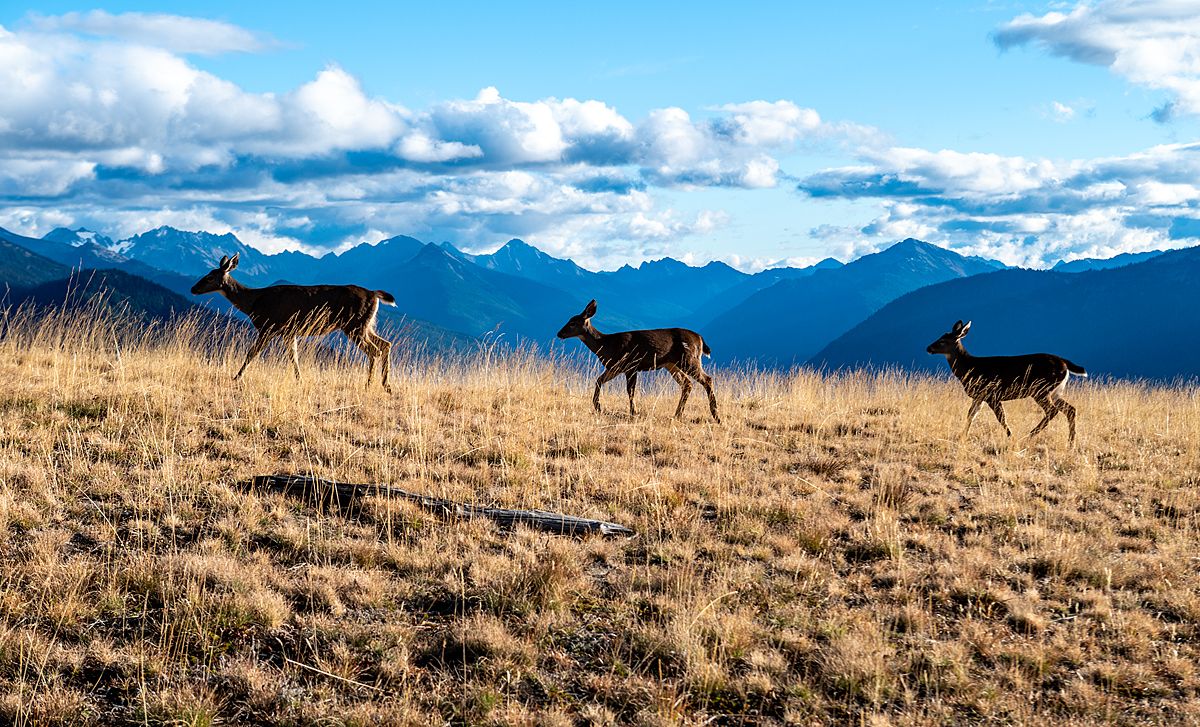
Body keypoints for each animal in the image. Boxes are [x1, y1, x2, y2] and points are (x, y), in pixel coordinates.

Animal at [191, 253, 396, 391]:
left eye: (209, 277)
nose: (193, 289)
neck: (253, 302)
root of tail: (374, 294)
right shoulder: (289, 332)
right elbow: (294, 357)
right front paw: (300, 380)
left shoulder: (269, 327)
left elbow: (252, 353)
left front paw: (237, 376)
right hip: (365, 325)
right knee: (385, 344)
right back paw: (386, 385)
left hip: (355, 325)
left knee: (375, 350)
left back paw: (369, 384)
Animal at [556, 299, 720, 423]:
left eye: (572, 323)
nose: (559, 333)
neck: (607, 345)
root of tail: (699, 338)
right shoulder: (615, 367)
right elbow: (599, 380)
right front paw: (598, 407)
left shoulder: (631, 365)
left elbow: (630, 391)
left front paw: (633, 412)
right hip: (672, 364)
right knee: (687, 384)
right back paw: (677, 415)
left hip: (689, 359)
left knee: (707, 379)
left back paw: (715, 415)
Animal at [927, 320, 1086, 445]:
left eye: (942, 341)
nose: (928, 348)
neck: (970, 368)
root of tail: (1065, 364)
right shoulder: (979, 396)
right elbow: (971, 415)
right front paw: (962, 437)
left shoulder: (992, 394)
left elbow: (1001, 418)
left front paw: (1011, 437)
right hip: (1055, 392)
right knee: (1071, 410)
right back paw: (1071, 443)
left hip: (1041, 389)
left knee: (1052, 411)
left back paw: (1029, 435)